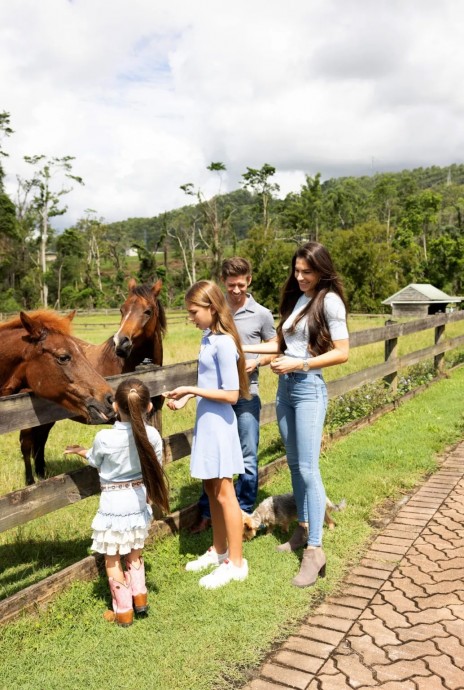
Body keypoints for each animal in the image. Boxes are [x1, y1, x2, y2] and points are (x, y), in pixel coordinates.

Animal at [19, 276, 167, 482]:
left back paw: (42, 474)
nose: (121, 343)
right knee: (26, 445)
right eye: (122, 309)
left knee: (40, 440)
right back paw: (30, 481)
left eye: (148, 311)